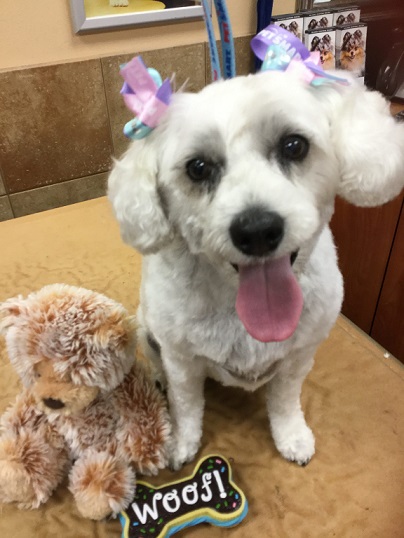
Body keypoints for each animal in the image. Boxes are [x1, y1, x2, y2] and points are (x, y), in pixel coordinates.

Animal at [107, 69, 404, 466]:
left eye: (294, 145)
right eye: (198, 167)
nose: (257, 230)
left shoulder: (299, 356)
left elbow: (285, 400)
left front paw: (291, 436)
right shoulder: (181, 360)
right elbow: (186, 404)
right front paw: (180, 442)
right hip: (147, 330)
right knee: (158, 365)